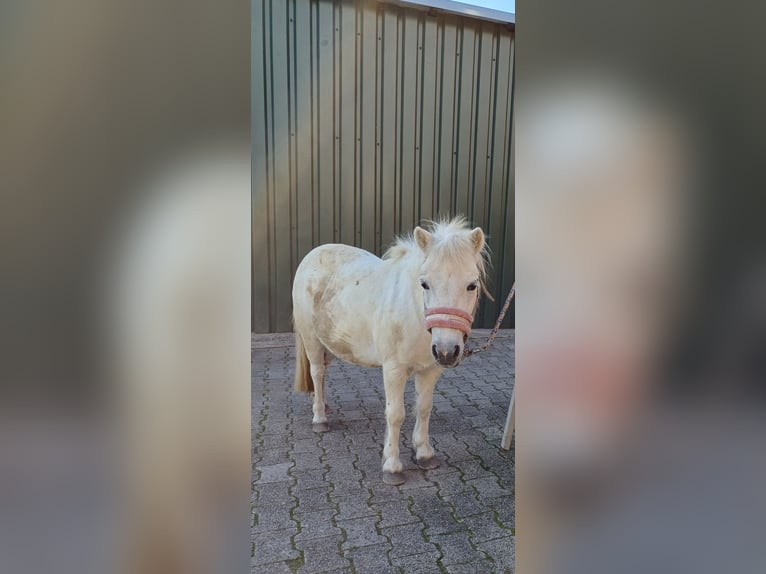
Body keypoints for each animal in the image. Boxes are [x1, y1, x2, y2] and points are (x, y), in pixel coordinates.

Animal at [292, 217, 489, 485]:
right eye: (424, 284)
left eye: (472, 285)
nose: (447, 352)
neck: (414, 312)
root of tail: (311, 257)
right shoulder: (394, 370)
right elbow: (396, 414)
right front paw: (392, 467)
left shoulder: (430, 370)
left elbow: (423, 408)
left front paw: (425, 454)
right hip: (311, 340)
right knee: (316, 372)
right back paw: (320, 418)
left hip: (328, 343)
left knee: (321, 375)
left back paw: (322, 404)